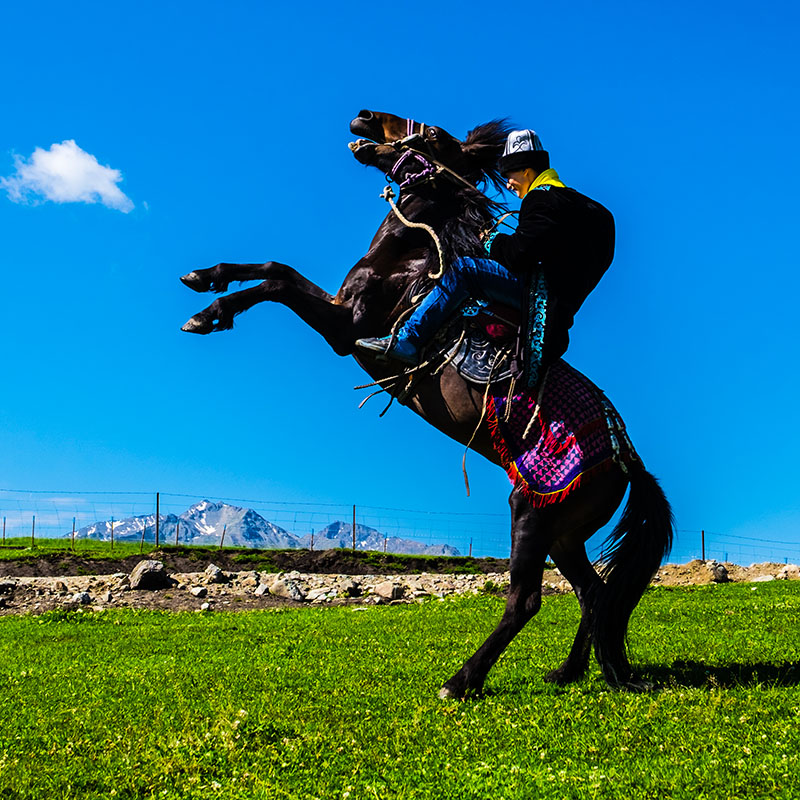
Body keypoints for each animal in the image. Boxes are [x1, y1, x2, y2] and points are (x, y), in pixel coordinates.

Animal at [181, 109, 676, 696]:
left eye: (434, 135)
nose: (365, 116)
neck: (415, 258)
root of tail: (628, 461)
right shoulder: (337, 305)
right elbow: (278, 268)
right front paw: (203, 280)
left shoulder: (346, 327)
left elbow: (278, 284)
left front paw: (210, 314)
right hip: (564, 534)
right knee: (593, 593)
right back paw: (570, 671)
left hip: (530, 514)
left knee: (527, 600)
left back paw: (462, 681)